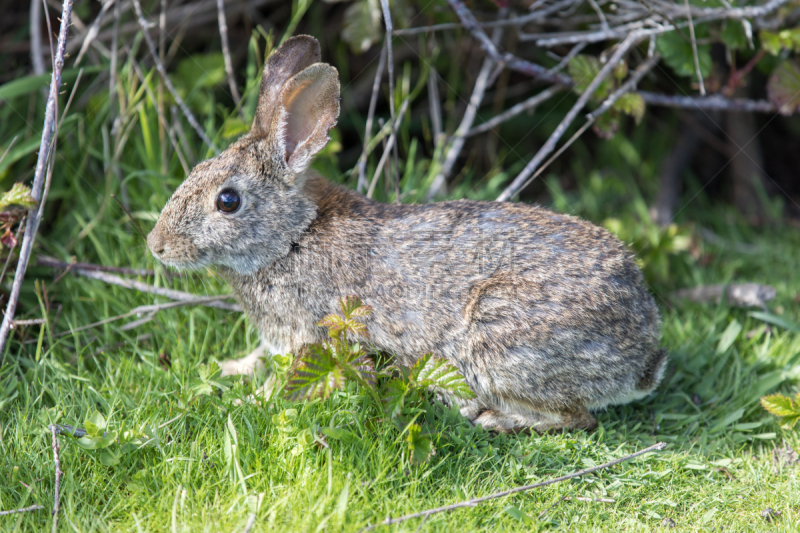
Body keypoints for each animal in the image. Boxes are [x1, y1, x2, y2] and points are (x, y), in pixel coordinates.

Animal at [147, 34, 664, 432]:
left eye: (228, 201)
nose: (157, 246)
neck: (294, 235)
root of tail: (642, 357)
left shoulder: (313, 336)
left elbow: (286, 381)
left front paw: (243, 402)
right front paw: (226, 368)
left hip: (498, 343)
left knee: (577, 418)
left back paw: (494, 420)